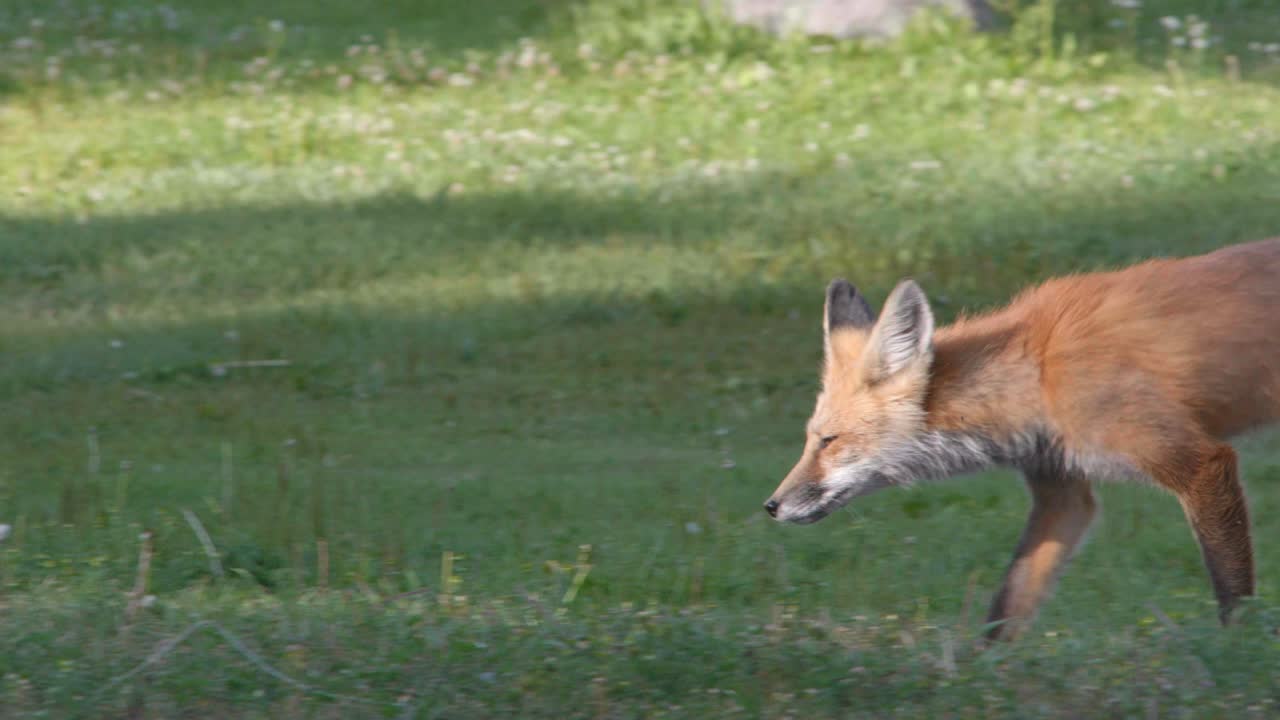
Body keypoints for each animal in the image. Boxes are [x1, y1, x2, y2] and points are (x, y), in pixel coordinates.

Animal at [763, 238, 1280, 641]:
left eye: (828, 440)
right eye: (812, 439)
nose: (771, 505)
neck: (1039, 373)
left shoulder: (1200, 464)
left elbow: (1231, 590)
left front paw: (1235, 651)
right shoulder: (1062, 494)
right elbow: (1009, 603)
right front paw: (977, 675)